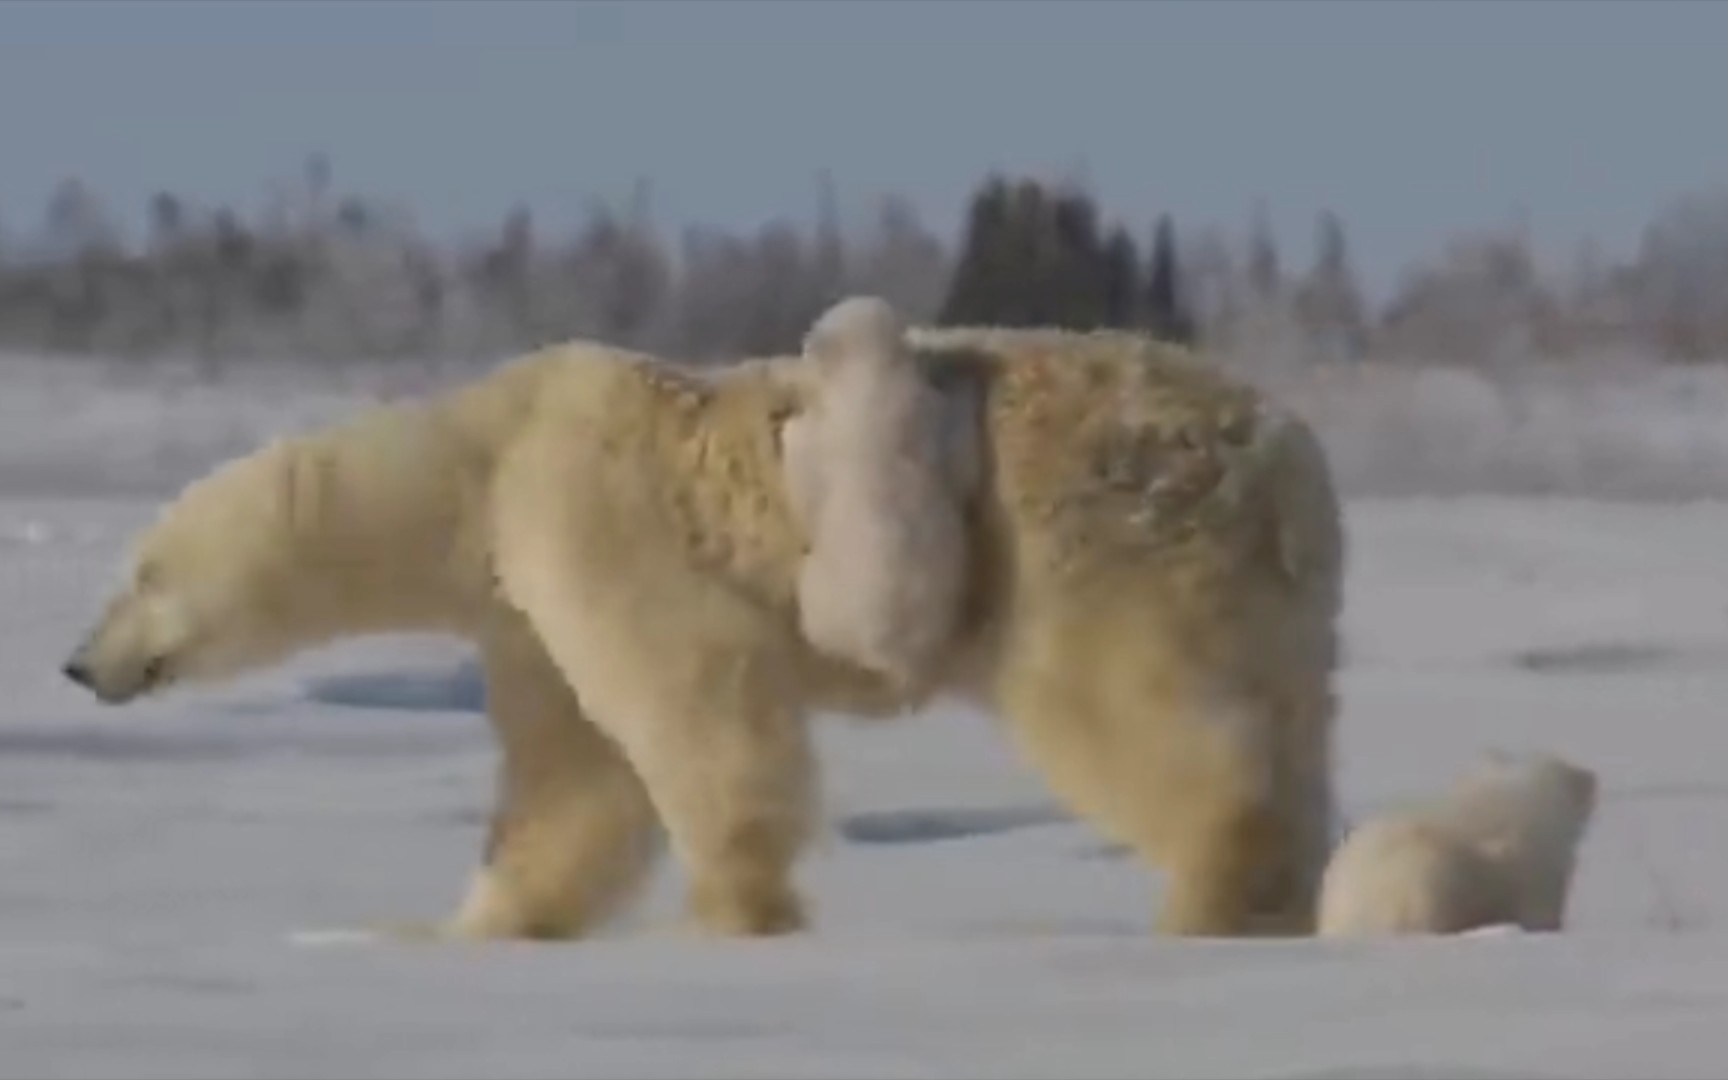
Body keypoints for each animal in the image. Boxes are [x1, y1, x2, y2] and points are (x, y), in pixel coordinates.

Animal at [781, 297, 974, 691]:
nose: (803, 344)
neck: (868, 376)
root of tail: (887, 646)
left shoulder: (819, 444)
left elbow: (802, 478)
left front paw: (787, 424)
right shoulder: (930, 415)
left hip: (819, 599)